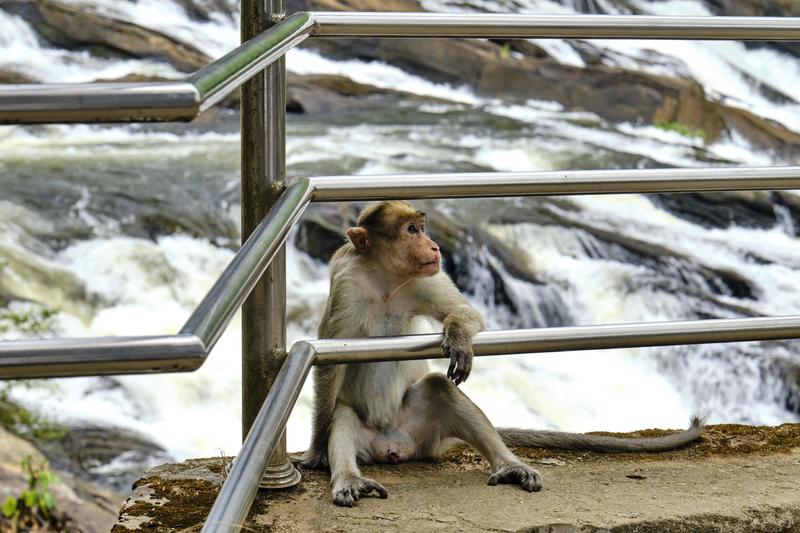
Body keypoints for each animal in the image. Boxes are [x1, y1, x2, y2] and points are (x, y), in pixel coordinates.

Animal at [296, 201, 704, 508]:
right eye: (411, 230)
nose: (435, 246)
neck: (384, 279)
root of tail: (395, 446)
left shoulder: (426, 278)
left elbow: (466, 312)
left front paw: (458, 336)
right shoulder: (346, 284)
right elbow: (329, 362)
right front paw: (316, 450)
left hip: (423, 432)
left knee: (439, 388)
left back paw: (509, 464)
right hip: (372, 439)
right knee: (342, 416)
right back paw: (349, 477)